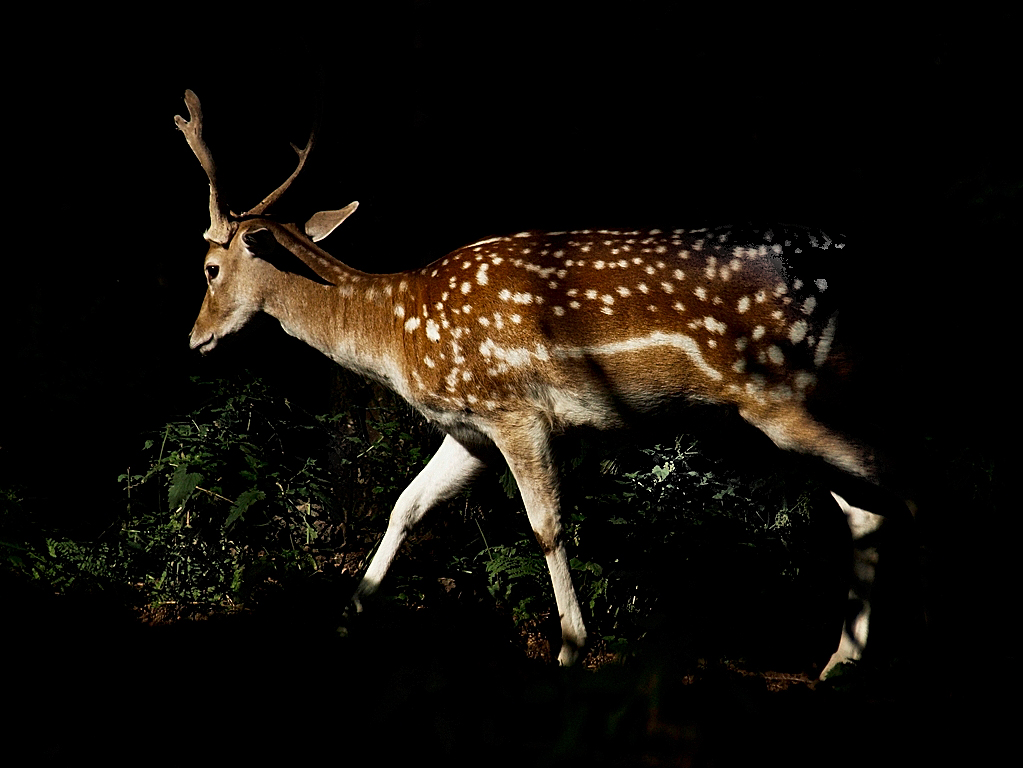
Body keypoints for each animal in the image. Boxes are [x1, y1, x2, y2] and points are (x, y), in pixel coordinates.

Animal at [173, 86, 912, 683]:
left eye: (209, 268)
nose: (193, 340)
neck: (397, 330)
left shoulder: (514, 409)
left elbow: (546, 525)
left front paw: (570, 648)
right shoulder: (468, 429)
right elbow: (406, 506)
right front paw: (344, 620)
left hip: (791, 395)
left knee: (891, 486)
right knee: (863, 507)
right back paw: (839, 662)